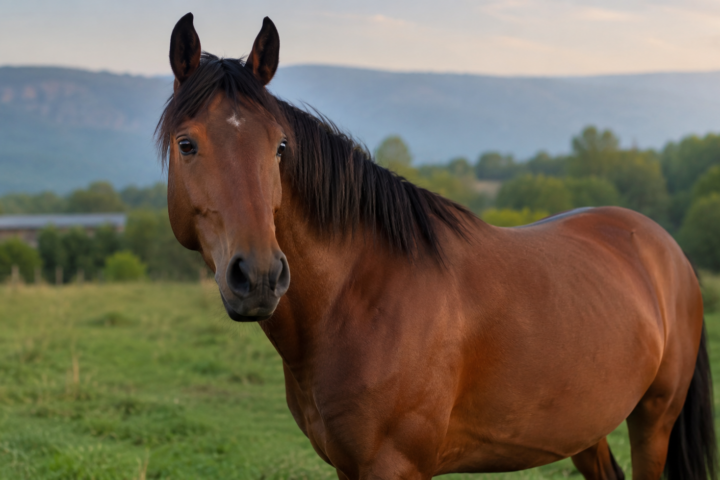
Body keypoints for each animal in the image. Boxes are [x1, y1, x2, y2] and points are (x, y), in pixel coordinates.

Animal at [157, 13, 716, 480]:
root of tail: (665, 249)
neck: (358, 298)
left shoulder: (395, 466)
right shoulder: (347, 467)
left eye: (279, 146)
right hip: (585, 428)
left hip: (653, 421)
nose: (259, 278)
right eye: (187, 144)